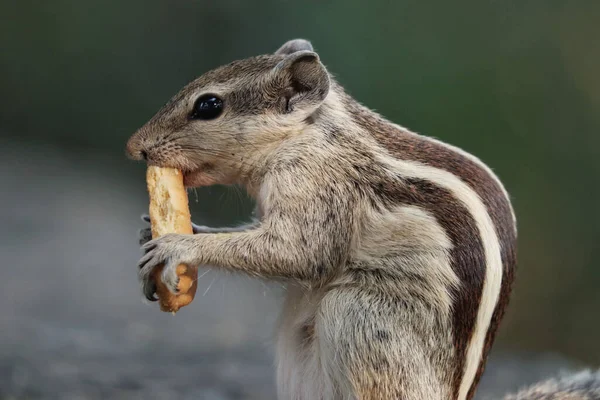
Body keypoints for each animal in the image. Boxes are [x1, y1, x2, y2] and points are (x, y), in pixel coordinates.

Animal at [127, 38, 600, 400]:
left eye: (208, 106)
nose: (135, 147)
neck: (311, 134)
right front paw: (164, 231)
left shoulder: (318, 186)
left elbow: (296, 252)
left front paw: (179, 244)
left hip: (358, 317)